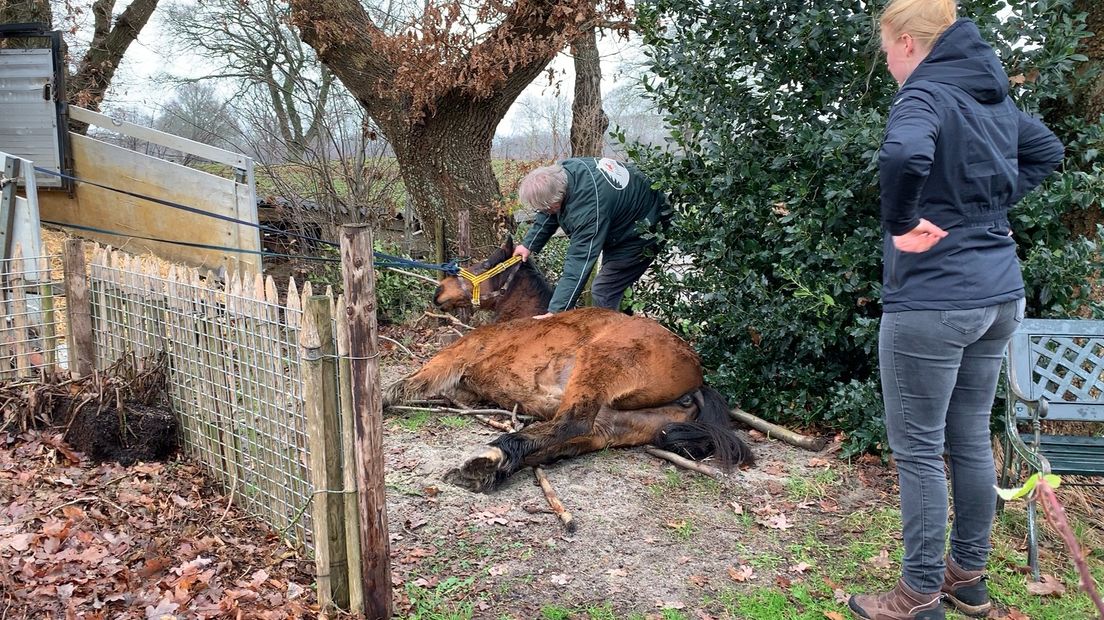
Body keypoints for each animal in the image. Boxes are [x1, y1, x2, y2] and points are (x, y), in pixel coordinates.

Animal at [384, 239, 755, 489]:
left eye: (480, 266)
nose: (439, 293)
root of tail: (697, 378)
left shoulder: (455, 357)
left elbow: (409, 383)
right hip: (614, 425)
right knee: (561, 441)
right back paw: (492, 466)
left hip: (597, 365)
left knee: (569, 424)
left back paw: (489, 457)